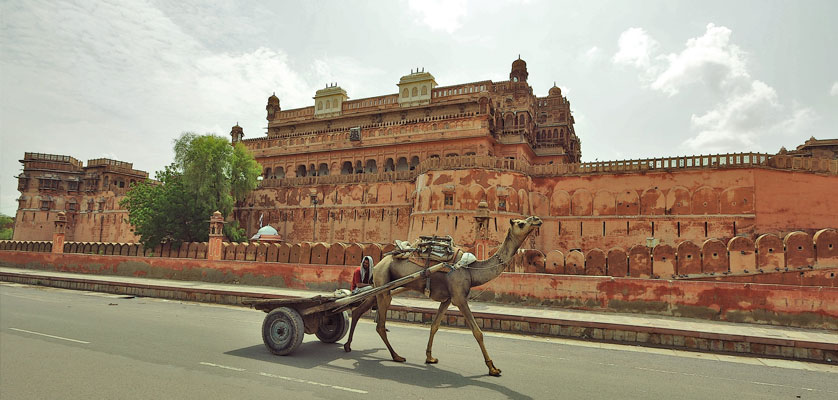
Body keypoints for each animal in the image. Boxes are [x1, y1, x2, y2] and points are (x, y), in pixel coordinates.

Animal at [342, 216, 544, 376]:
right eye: (520, 223)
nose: (536, 219)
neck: (471, 269)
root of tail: (378, 264)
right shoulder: (460, 298)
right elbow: (477, 332)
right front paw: (492, 368)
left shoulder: (447, 299)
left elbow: (434, 326)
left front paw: (430, 357)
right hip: (384, 286)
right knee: (380, 325)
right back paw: (396, 356)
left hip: (379, 287)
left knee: (359, 310)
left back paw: (348, 345)